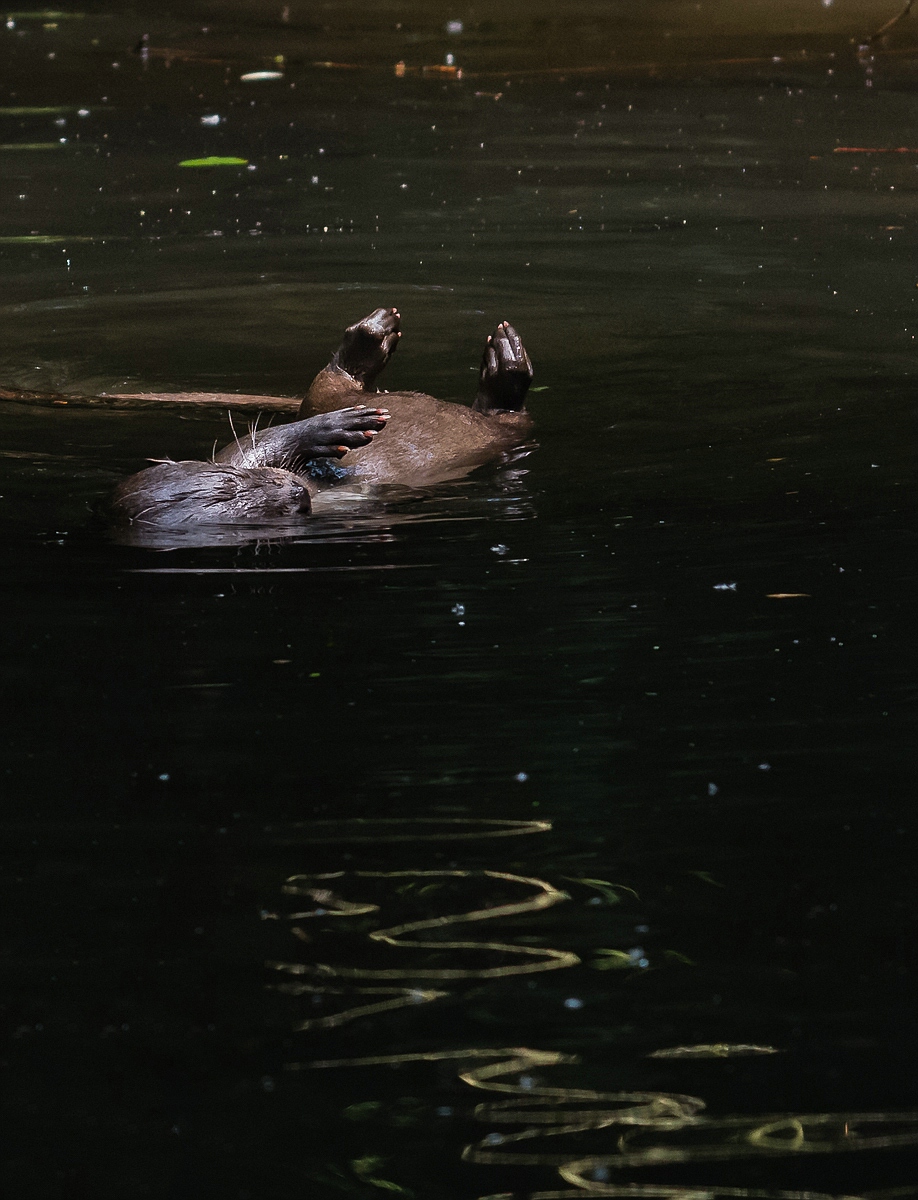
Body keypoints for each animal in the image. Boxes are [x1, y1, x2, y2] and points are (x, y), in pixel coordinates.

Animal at [109, 311, 534, 527]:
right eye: (230, 498)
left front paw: (334, 429)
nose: (291, 488)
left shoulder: (230, 456)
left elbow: (258, 441)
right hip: (501, 431)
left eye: (235, 480)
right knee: (511, 416)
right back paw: (507, 369)